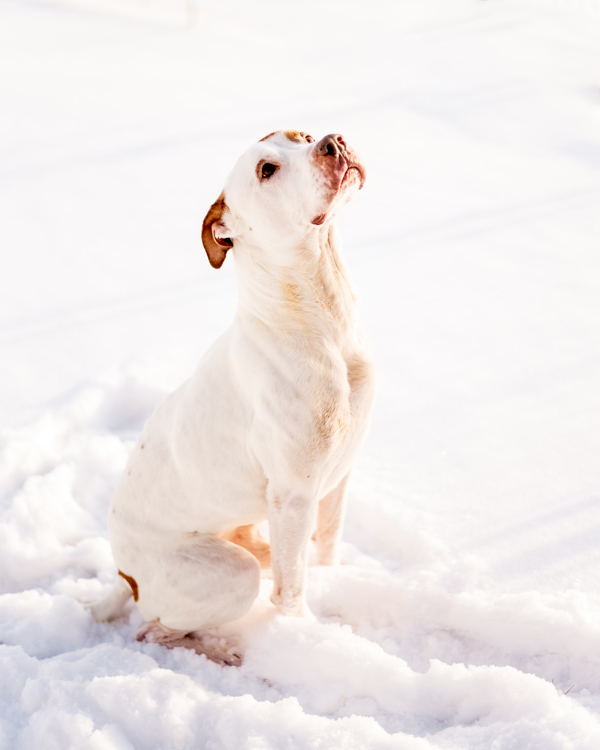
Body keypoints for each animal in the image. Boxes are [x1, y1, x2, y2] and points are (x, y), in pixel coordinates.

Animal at [92, 132, 376, 668]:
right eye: (267, 170)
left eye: (303, 137)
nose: (334, 142)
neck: (321, 320)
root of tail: (125, 576)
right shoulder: (294, 495)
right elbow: (290, 591)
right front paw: (303, 636)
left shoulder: (342, 474)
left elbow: (328, 541)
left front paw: (332, 576)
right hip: (226, 575)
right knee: (156, 630)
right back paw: (222, 651)